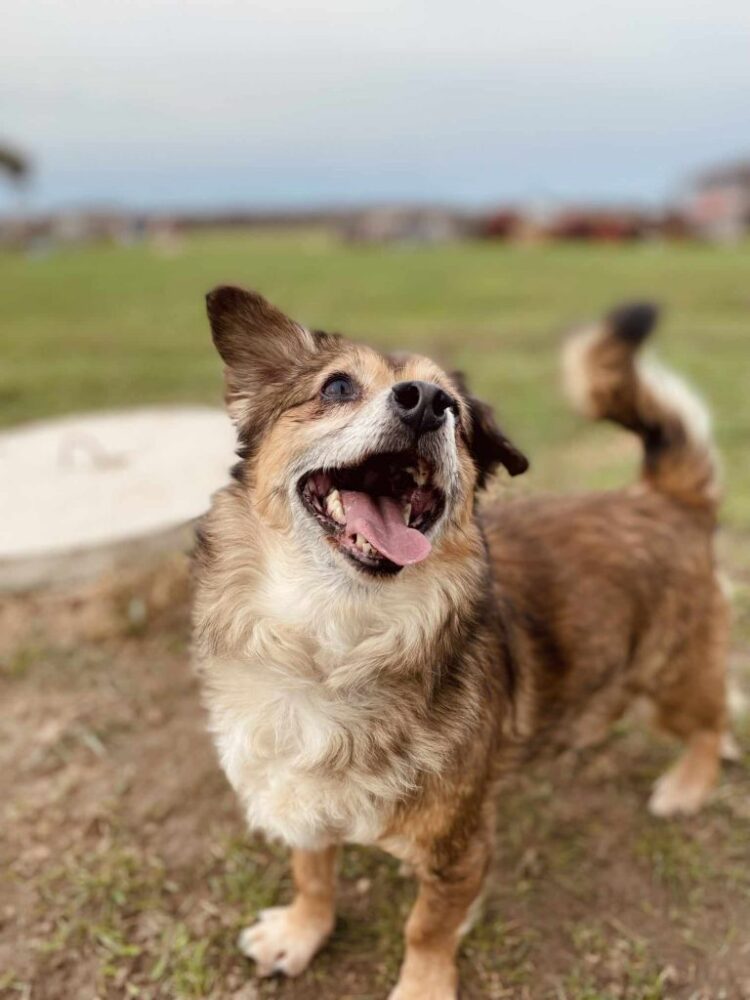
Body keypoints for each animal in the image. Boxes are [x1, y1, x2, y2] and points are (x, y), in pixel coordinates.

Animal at [193, 287, 732, 999]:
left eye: (456, 409)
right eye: (336, 386)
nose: (426, 401)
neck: (336, 641)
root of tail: (665, 499)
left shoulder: (462, 849)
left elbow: (426, 927)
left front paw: (422, 985)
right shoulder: (301, 795)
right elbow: (312, 873)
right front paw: (301, 932)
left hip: (671, 675)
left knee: (713, 716)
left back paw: (689, 784)